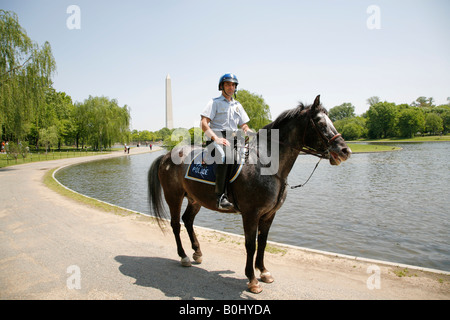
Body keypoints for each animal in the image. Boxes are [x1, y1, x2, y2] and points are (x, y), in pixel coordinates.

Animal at [148, 94, 352, 292]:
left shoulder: (269, 214)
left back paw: (197, 252)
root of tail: (167, 155)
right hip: (173, 197)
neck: (267, 166)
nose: (345, 150)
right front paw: (252, 279)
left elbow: (262, 242)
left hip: (195, 199)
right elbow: (250, 244)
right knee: (176, 224)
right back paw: (183, 256)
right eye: (320, 122)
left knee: (188, 220)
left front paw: (263, 271)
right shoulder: (251, 214)